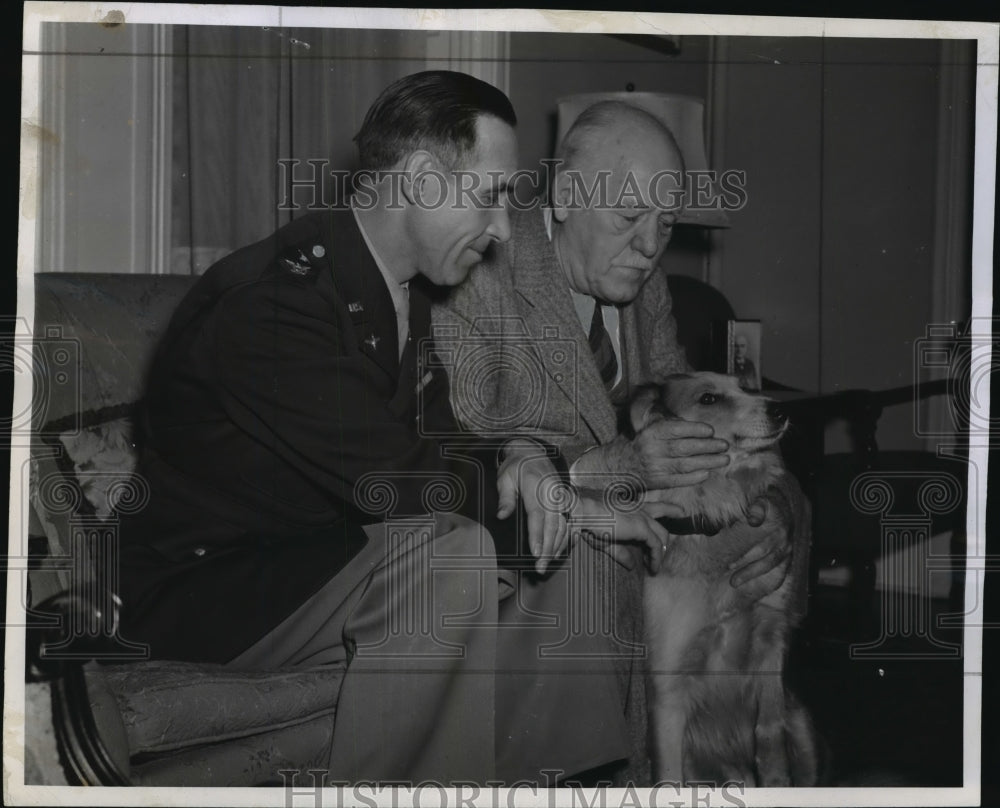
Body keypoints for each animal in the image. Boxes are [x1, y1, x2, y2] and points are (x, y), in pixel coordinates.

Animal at [632, 374, 820, 788]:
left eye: (745, 387)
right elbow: (668, 778)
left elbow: (769, 735)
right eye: (708, 398)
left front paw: (774, 778)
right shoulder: (667, 692)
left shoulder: (770, 643)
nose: (780, 409)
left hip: (803, 727)